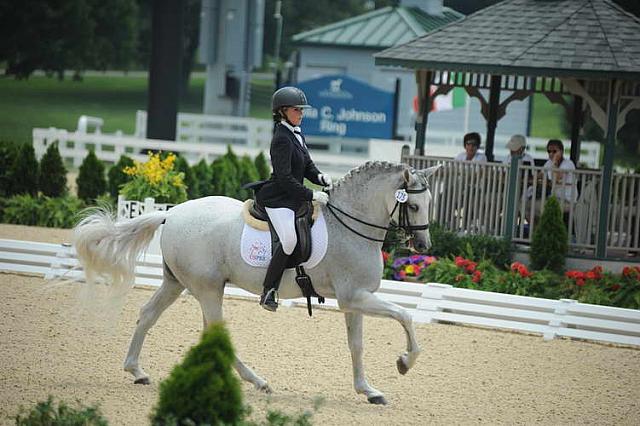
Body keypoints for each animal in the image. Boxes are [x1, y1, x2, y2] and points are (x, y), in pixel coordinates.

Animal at [71, 161, 440, 406]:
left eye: (429, 204)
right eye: (413, 205)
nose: (424, 247)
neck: (348, 225)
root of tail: (171, 213)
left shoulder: (353, 300)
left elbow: (357, 345)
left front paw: (369, 391)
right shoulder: (355, 297)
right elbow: (405, 315)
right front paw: (404, 363)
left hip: (177, 283)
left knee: (149, 315)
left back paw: (137, 371)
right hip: (207, 289)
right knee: (214, 331)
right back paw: (258, 382)